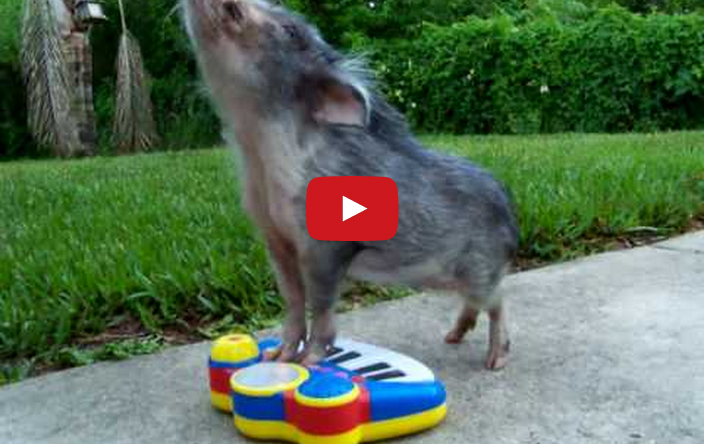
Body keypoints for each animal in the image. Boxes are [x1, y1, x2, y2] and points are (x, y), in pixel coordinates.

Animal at [182, 0, 519, 369]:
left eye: (290, 30)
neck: (258, 151)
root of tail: (511, 212)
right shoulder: (274, 237)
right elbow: (292, 301)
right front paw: (276, 357)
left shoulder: (327, 246)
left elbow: (320, 303)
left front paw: (308, 362)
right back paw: (452, 338)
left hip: (481, 266)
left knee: (499, 300)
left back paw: (495, 361)